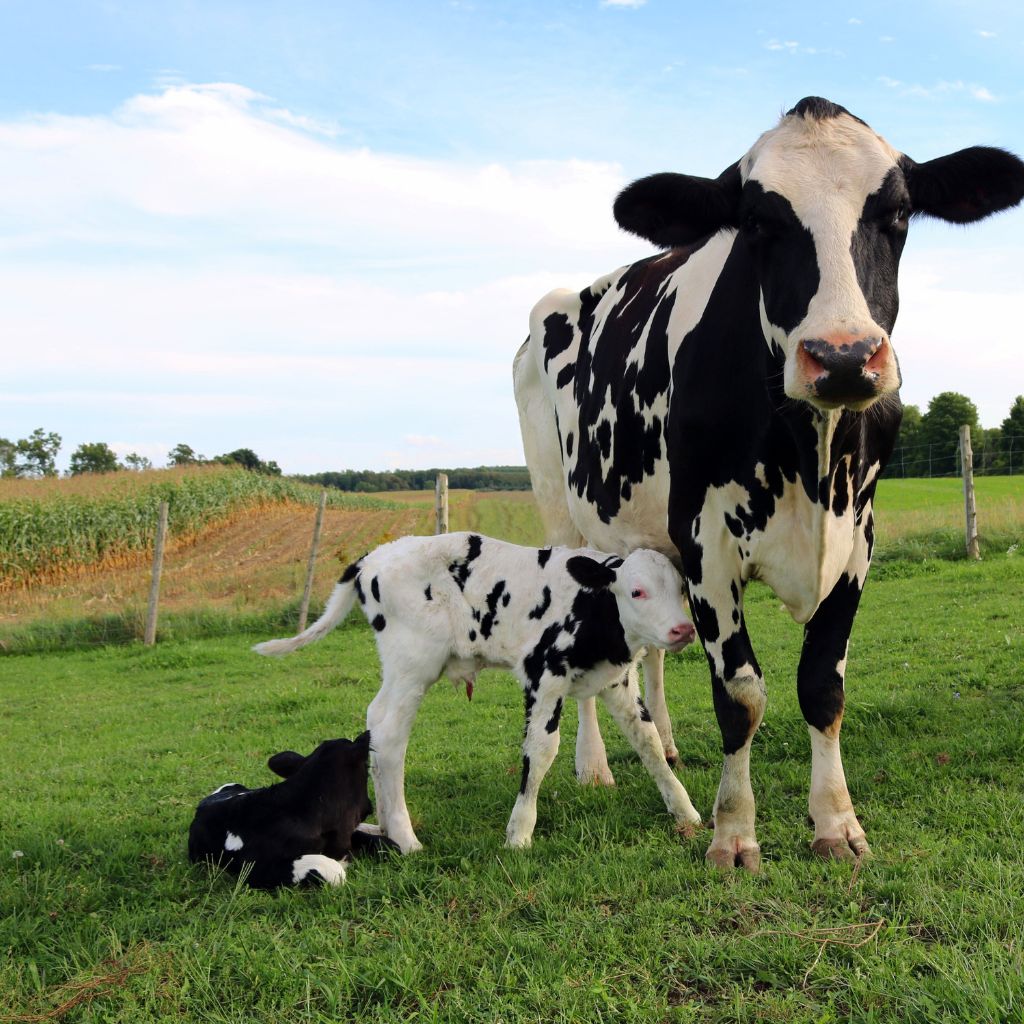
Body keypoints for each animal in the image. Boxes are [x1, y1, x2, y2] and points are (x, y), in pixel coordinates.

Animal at [256, 532, 704, 851]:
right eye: (637, 591)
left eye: (680, 587)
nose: (683, 629)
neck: (593, 608)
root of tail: (373, 557)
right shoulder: (542, 675)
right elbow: (541, 750)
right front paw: (519, 833)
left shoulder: (617, 680)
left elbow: (648, 741)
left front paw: (685, 811)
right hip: (413, 664)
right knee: (389, 735)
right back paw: (405, 837)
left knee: (375, 719)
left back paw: (384, 826)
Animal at [516, 96, 1024, 868]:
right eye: (757, 221)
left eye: (899, 213)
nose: (843, 356)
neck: (808, 456)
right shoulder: (707, 544)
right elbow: (741, 695)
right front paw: (733, 833)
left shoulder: (858, 539)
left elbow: (822, 686)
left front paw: (836, 824)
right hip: (562, 513)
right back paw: (593, 765)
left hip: (646, 541)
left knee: (652, 650)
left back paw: (665, 741)